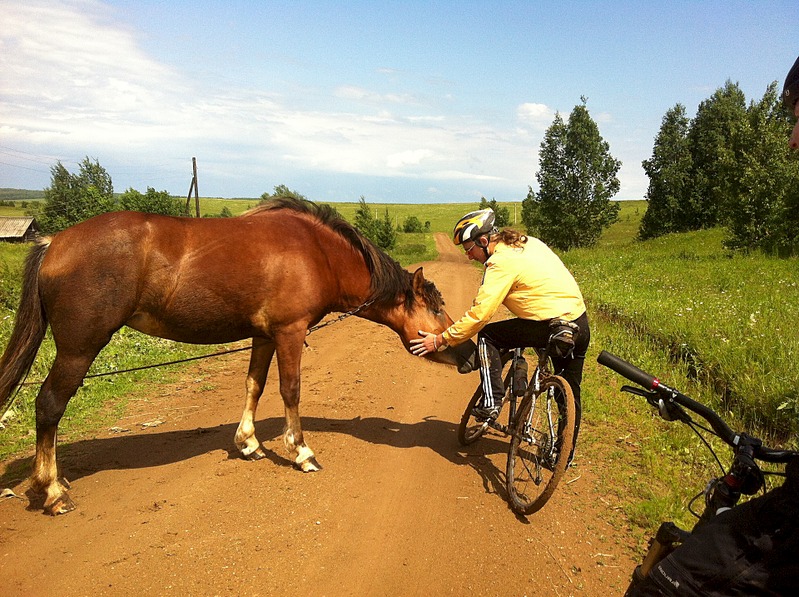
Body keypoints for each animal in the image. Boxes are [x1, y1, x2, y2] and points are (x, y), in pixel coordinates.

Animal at [0, 198, 476, 516]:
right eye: (436, 308)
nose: (469, 351)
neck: (317, 253)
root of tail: (54, 243)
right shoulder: (289, 332)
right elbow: (290, 391)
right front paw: (301, 452)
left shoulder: (264, 336)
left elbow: (255, 385)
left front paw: (248, 443)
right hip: (79, 349)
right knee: (49, 405)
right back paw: (54, 492)